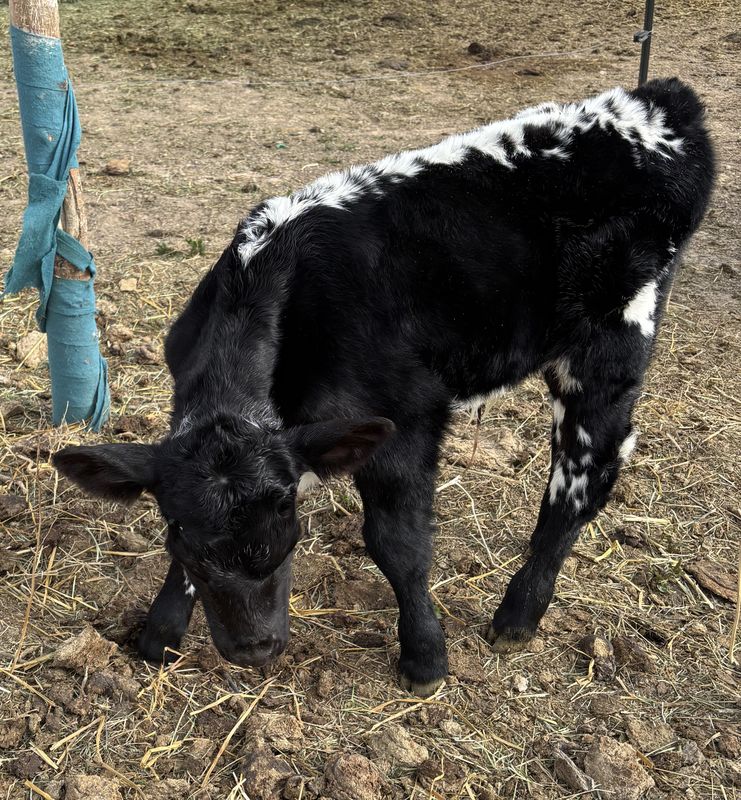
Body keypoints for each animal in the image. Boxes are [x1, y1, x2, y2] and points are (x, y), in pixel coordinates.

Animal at [53, 78, 714, 696]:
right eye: (184, 536)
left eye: (285, 524)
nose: (252, 649)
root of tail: (656, 102)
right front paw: (160, 630)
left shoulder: (407, 416)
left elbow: (398, 544)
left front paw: (425, 657)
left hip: (613, 342)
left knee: (583, 475)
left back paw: (518, 615)